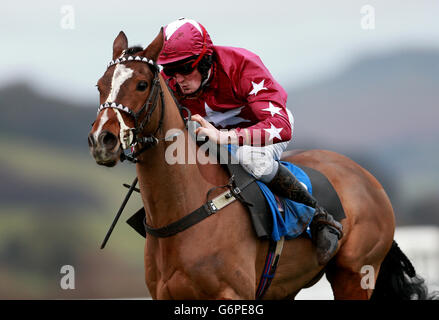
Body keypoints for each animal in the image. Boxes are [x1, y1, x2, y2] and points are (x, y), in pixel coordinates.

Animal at [87, 29, 436, 300]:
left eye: (142, 84)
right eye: (100, 85)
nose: (103, 140)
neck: (188, 207)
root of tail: (367, 178)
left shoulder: (232, 293)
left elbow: (273, 118)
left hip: (355, 274)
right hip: (285, 286)